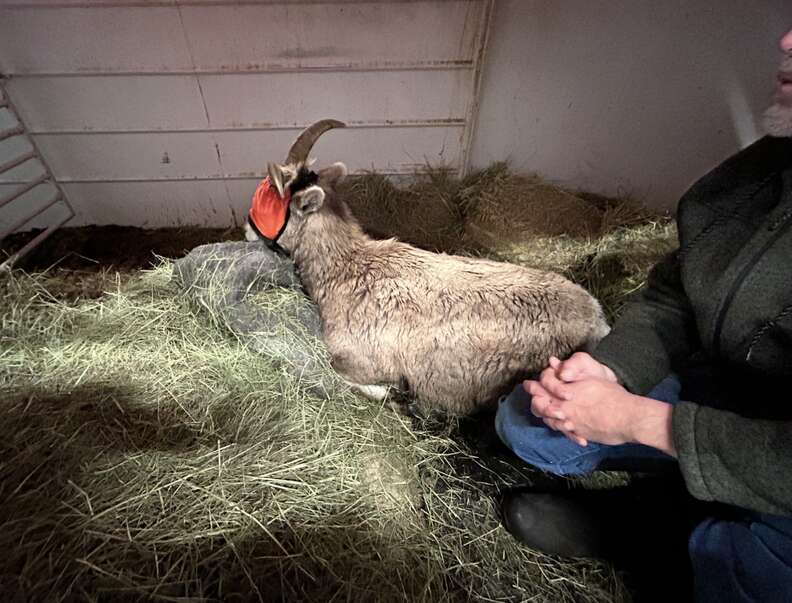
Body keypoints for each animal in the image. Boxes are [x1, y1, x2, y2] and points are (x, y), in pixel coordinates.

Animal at [245, 120, 610, 415]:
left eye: (266, 200)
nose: (247, 229)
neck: (349, 268)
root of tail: (596, 320)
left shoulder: (357, 357)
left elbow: (340, 373)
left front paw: (391, 393)